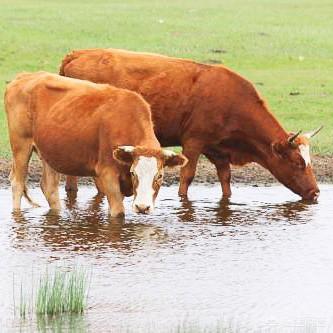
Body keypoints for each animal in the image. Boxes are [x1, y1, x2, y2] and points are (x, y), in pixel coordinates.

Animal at [4, 71, 187, 217]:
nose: (142, 207)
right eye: (133, 173)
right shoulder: (107, 174)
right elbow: (118, 213)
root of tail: (24, 77)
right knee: (17, 183)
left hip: (48, 151)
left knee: (49, 187)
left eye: (160, 176)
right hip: (21, 145)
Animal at [60, 48, 322, 200]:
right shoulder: (193, 142)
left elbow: (225, 179)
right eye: (298, 162)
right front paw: (182, 199)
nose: (316, 191)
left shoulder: (218, 149)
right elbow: (187, 175)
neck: (232, 100)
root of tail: (77, 54)